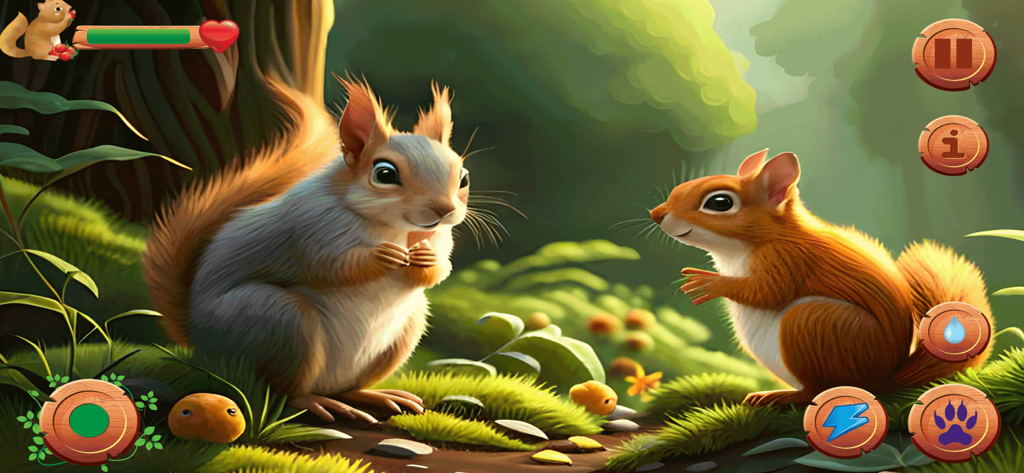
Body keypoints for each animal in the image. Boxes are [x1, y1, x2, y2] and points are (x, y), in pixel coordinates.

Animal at [143, 77, 470, 423]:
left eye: (463, 177)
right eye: (385, 174)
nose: (444, 210)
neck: (395, 227)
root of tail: (197, 340)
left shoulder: (440, 236)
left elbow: (439, 272)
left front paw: (425, 260)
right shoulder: (312, 226)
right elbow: (333, 265)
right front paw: (384, 256)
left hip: (407, 326)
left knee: (347, 388)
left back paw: (373, 396)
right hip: (280, 321)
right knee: (283, 393)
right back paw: (316, 402)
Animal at [650, 149, 993, 406]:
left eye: (719, 203)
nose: (656, 214)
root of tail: (883, 380)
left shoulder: (788, 260)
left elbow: (767, 292)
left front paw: (709, 282)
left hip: (814, 323)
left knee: (819, 390)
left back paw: (783, 396)